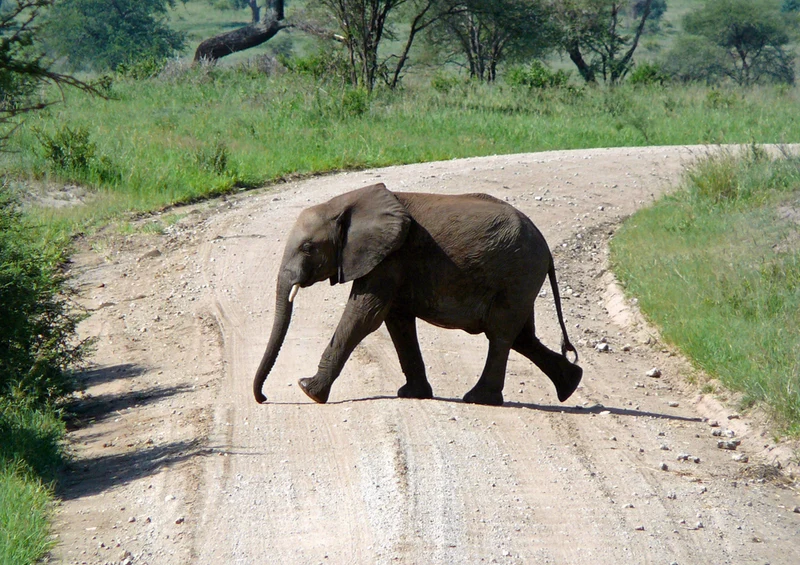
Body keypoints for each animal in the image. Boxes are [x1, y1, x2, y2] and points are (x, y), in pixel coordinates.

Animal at [253, 183, 582, 406]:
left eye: (308, 247)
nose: (264, 398)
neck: (345, 202)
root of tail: (547, 249)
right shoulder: (391, 261)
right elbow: (396, 322)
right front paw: (412, 395)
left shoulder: (389, 257)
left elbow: (364, 316)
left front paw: (307, 389)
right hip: (521, 280)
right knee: (522, 337)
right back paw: (570, 385)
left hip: (518, 274)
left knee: (501, 334)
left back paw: (478, 399)